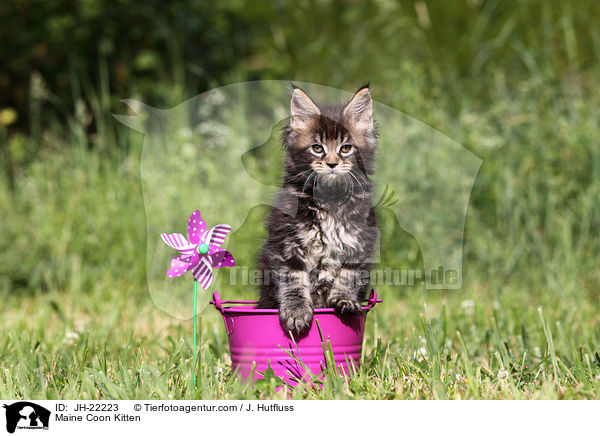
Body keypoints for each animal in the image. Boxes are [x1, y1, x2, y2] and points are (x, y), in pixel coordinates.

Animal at [258, 85, 380, 334]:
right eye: (317, 148)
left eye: (346, 148)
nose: (332, 163)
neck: (331, 199)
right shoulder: (286, 243)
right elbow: (293, 279)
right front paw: (296, 312)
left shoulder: (360, 243)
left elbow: (348, 275)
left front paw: (344, 300)